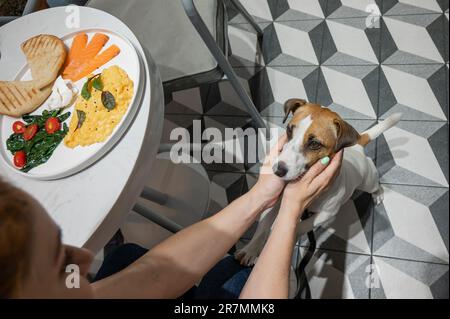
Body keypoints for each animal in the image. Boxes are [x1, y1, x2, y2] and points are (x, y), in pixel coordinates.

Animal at [236, 99, 400, 268]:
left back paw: (377, 194)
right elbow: (263, 225)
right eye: (289, 130)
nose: (277, 171)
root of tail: (357, 146)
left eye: (314, 143)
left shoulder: (328, 212)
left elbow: (302, 226)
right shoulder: (277, 200)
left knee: (375, 184)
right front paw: (251, 250)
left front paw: (282, 235)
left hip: (367, 180)